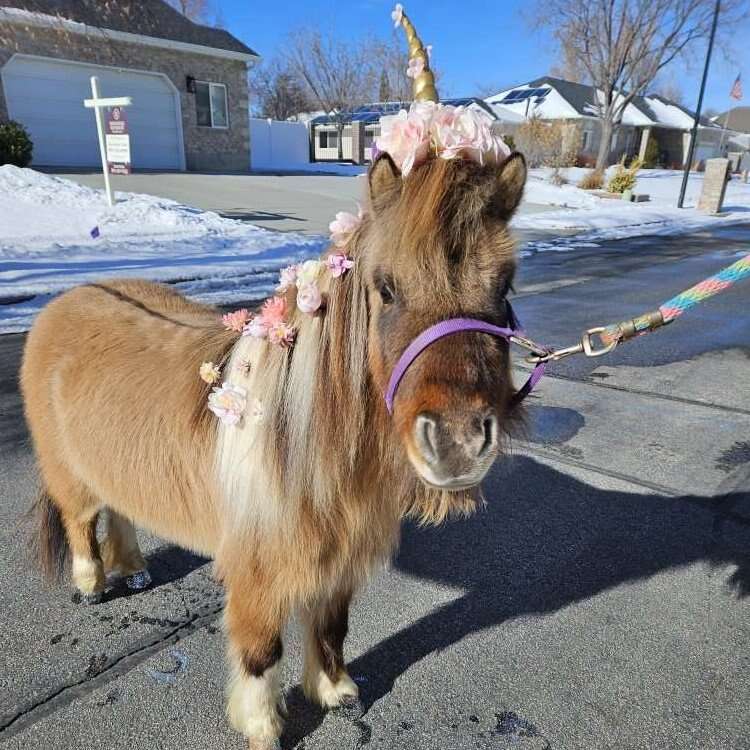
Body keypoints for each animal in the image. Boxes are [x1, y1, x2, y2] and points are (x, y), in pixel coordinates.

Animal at [20, 9, 527, 750]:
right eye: (385, 287)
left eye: (506, 285)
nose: (459, 443)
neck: (306, 439)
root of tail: (69, 297)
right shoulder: (262, 572)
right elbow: (262, 649)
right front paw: (262, 726)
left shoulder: (338, 561)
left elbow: (331, 626)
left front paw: (336, 692)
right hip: (68, 474)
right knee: (82, 520)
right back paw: (93, 582)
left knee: (121, 509)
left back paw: (134, 569)